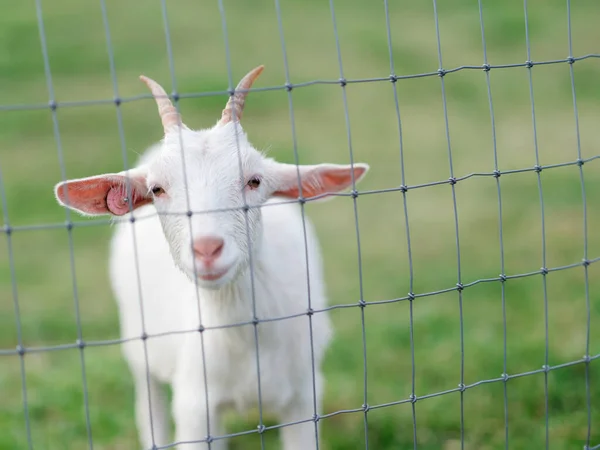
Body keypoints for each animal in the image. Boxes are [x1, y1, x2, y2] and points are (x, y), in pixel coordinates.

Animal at [52, 65, 370, 448]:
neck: (245, 337)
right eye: (157, 189)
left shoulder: (305, 395)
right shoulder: (195, 405)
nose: (207, 249)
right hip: (139, 348)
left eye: (254, 181)